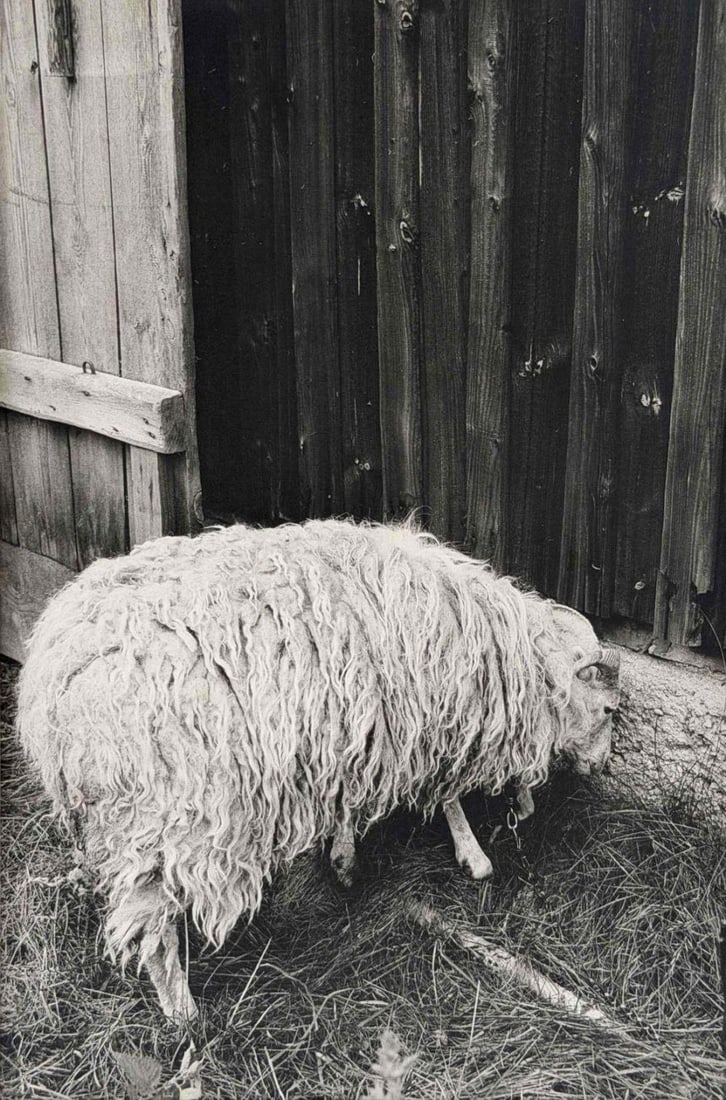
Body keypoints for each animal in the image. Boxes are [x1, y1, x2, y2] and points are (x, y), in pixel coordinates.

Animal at [17, 518, 621, 1021]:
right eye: (609, 710)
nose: (599, 766)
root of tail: (54, 679)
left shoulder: (356, 733)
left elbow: (349, 803)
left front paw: (345, 857)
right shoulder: (428, 723)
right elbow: (448, 796)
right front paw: (473, 856)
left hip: (112, 816)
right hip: (170, 816)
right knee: (151, 928)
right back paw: (185, 1017)